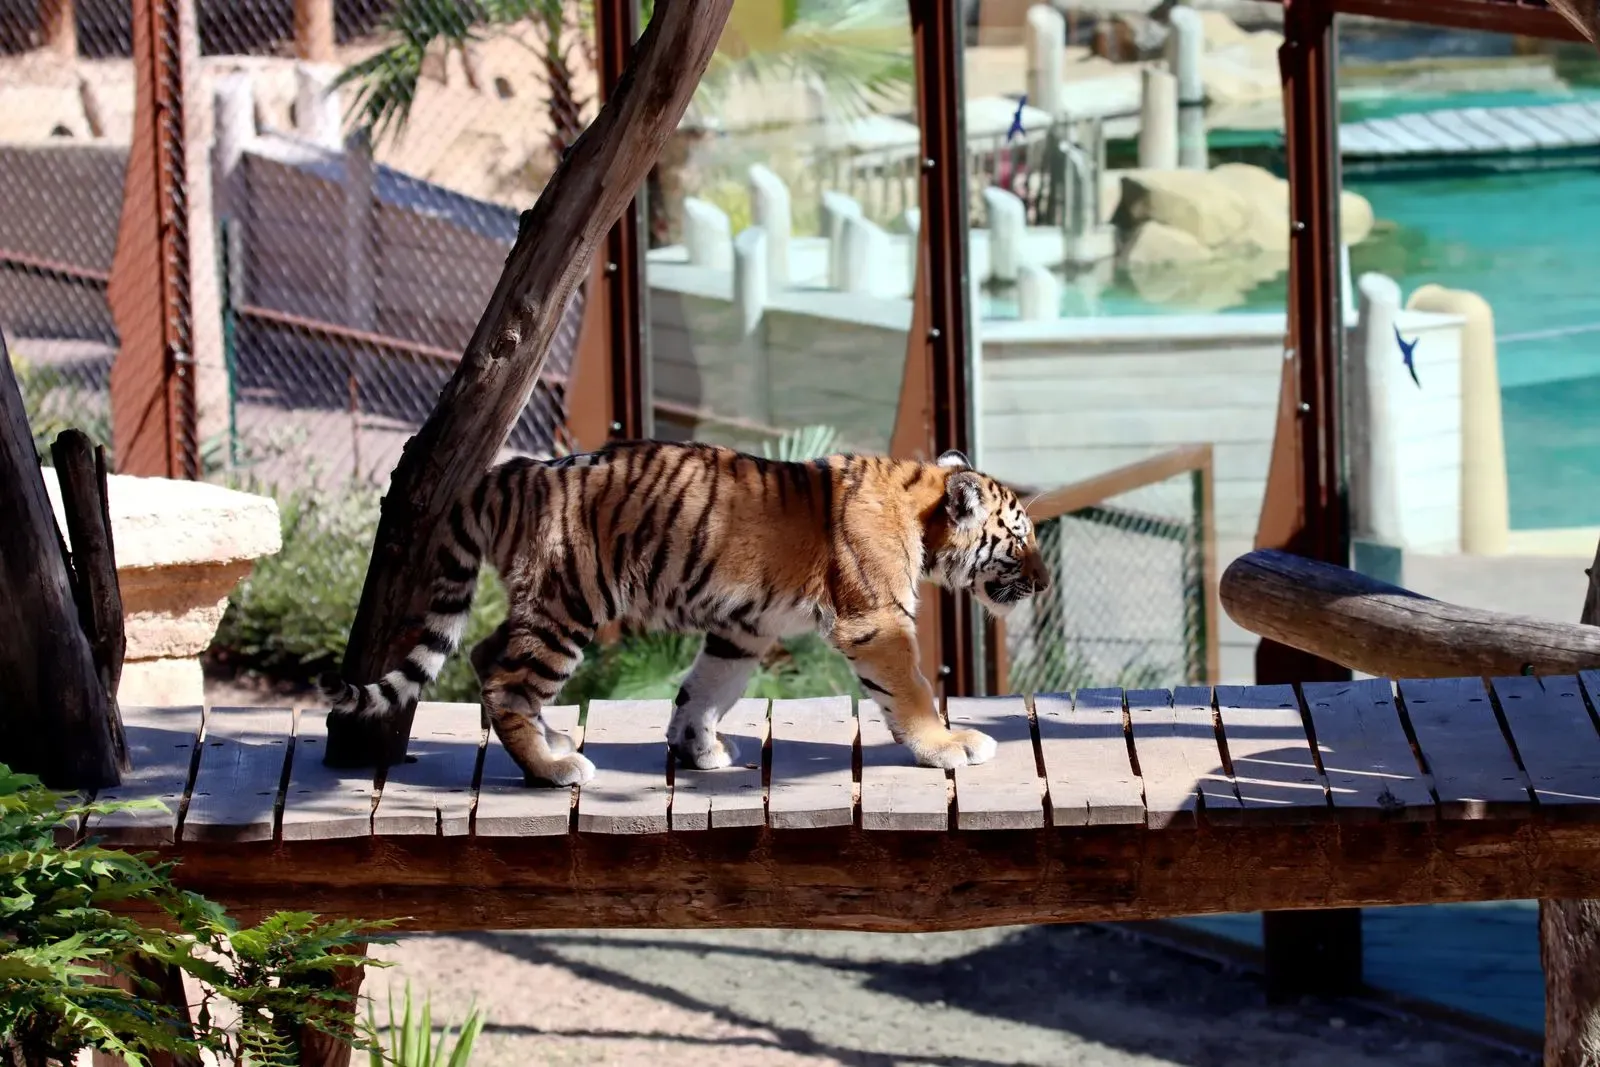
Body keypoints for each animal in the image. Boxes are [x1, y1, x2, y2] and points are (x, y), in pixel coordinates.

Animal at [319, 440, 1051, 787]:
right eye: (1018, 543)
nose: (1044, 584)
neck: (920, 502)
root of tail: (515, 470)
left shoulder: (742, 629)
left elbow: (704, 690)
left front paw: (698, 748)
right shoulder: (878, 622)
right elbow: (913, 692)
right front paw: (948, 746)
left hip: (541, 600)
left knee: (483, 653)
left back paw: (553, 743)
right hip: (568, 604)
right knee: (504, 679)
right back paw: (552, 770)